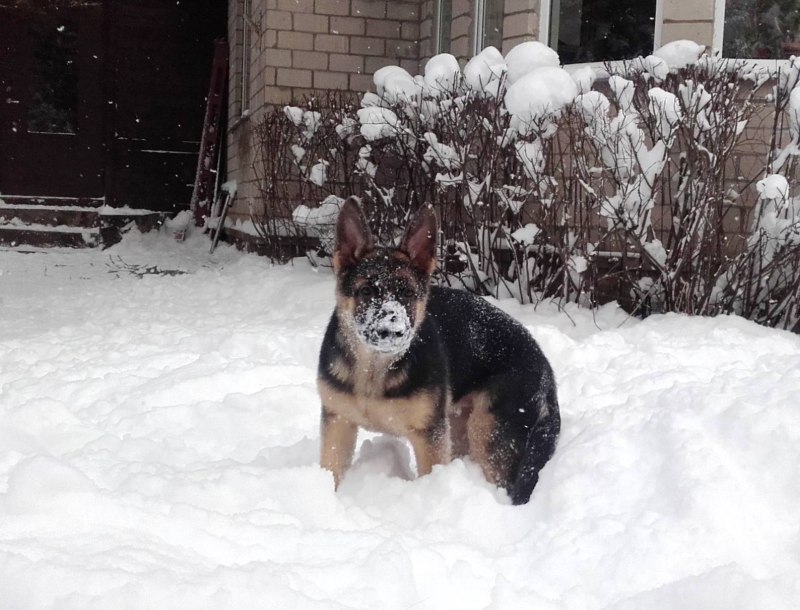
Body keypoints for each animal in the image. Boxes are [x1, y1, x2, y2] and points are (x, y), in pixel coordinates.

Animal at [316, 196, 560, 504]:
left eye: (407, 293)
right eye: (366, 292)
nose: (391, 331)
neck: (375, 369)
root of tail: (545, 368)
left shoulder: (429, 436)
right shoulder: (338, 423)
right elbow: (331, 470)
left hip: (489, 431)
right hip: (459, 424)